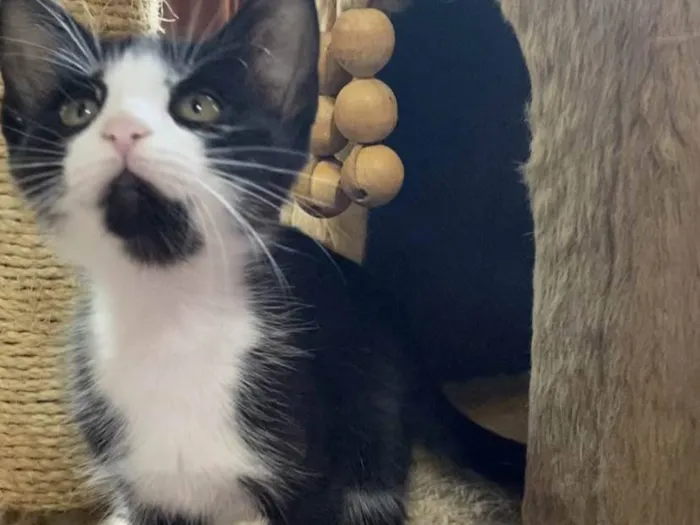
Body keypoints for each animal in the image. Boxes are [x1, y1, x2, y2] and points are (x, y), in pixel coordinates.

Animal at [0, 0, 524, 524]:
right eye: (78, 111)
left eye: (200, 106)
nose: (123, 129)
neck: (170, 316)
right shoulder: (146, 488)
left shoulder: (310, 468)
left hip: (373, 408)